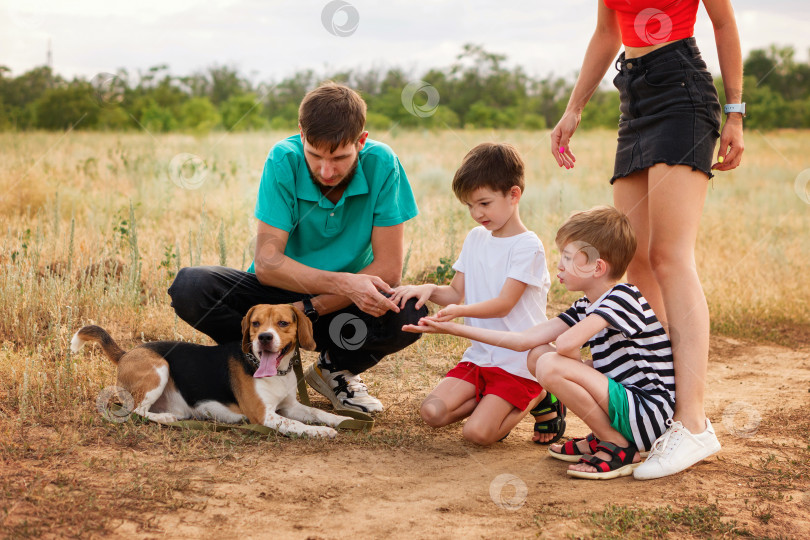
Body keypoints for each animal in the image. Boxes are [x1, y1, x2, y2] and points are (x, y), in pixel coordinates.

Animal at [68, 304, 348, 438]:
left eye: (283, 323)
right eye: (255, 324)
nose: (264, 338)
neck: (273, 371)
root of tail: (126, 353)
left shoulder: (290, 406)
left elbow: (317, 413)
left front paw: (341, 420)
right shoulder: (265, 415)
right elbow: (296, 424)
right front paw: (319, 432)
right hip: (160, 368)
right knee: (137, 411)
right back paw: (166, 418)